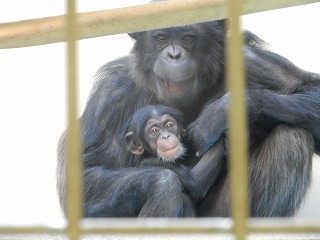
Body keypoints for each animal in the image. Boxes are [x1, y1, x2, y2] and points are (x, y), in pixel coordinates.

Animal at [57, 15, 320, 217]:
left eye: (187, 38)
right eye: (161, 37)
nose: (174, 54)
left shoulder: (250, 60)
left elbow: (309, 89)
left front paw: (219, 113)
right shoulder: (112, 95)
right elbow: (84, 174)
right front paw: (162, 184)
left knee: (291, 138)